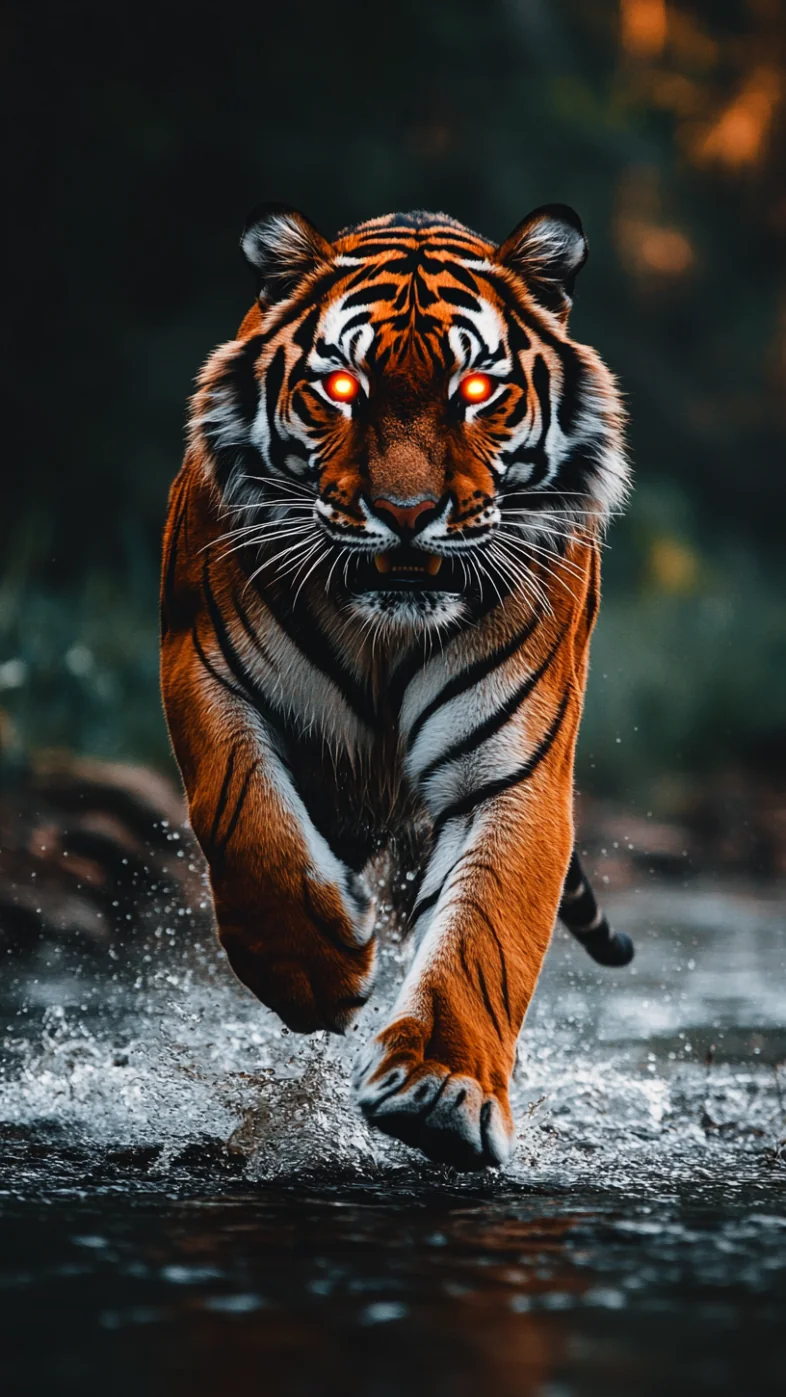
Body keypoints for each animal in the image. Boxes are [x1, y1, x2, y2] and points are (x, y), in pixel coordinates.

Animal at [160, 201, 633, 1171]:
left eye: (477, 391)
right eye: (342, 388)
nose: (408, 514)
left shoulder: (511, 771)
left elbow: (485, 930)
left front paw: (439, 1089)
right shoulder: (205, 670)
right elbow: (246, 821)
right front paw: (318, 969)